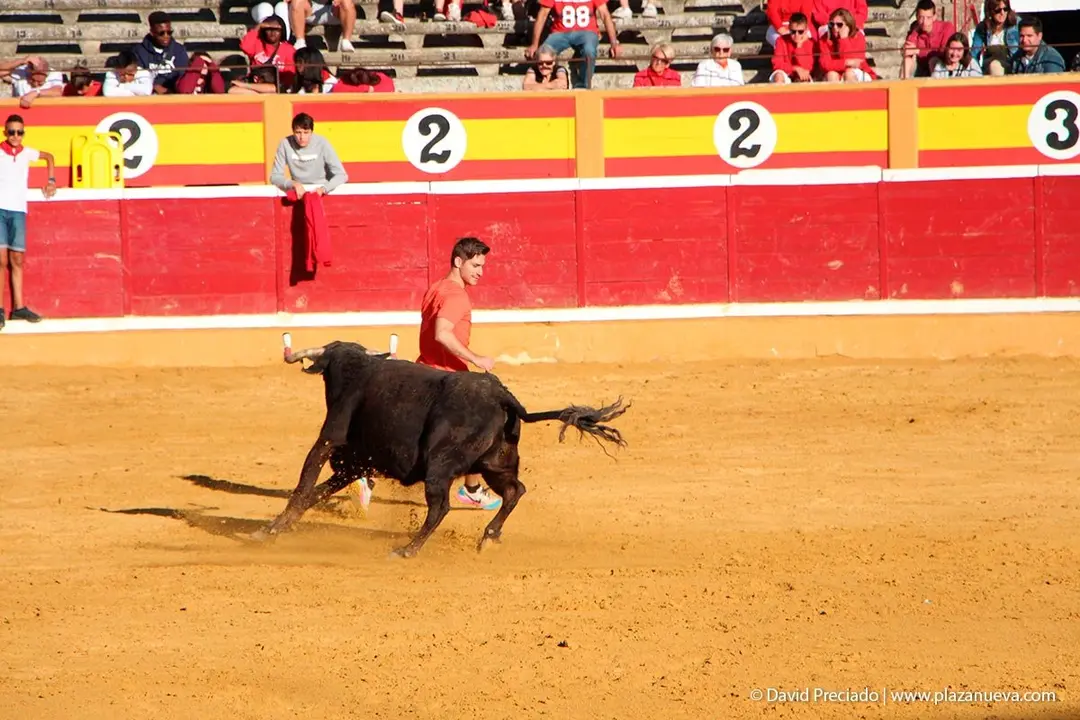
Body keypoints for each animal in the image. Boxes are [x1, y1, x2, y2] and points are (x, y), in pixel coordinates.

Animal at [251, 340, 629, 558]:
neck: (354, 370)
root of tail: (504, 398)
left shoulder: (328, 442)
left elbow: (303, 487)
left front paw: (268, 531)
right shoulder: (354, 464)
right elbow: (316, 493)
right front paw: (284, 527)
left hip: (439, 466)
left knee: (441, 506)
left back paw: (407, 550)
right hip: (496, 464)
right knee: (515, 490)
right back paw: (488, 536)